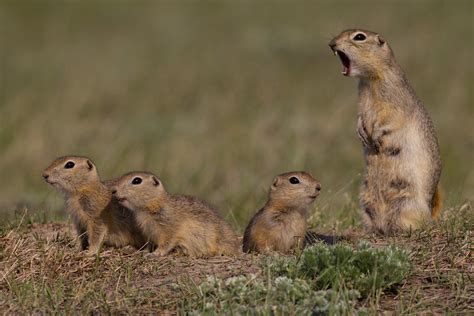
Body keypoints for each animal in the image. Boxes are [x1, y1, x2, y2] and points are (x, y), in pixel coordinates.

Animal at [111, 173, 241, 256]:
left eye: (136, 180)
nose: (114, 190)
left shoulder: (170, 228)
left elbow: (167, 242)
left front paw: (156, 253)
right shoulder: (149, 232)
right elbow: (150, 243)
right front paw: (144, 251)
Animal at [328, 29, 442, 232]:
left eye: (359, 37)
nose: (332, 43)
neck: (370, 79)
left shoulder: (395, 99)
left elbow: (391, 118)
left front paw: (375, 136)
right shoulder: (361, 101)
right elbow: (360, 116)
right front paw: (360, 132)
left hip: (407, 203)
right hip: (365, 199)